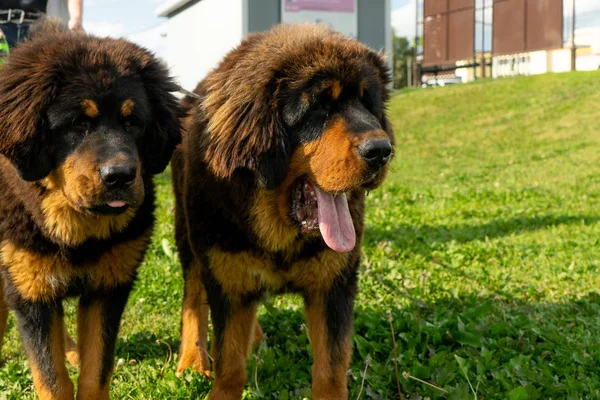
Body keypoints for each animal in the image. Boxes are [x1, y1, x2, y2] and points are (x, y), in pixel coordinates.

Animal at [0, 22, 180, 400]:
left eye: (133, 122)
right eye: (77, 123)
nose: (120, 176)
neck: (77, 233)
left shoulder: (108, 286)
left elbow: (95, 372)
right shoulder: (29, 289)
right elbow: (51, 379)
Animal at [173, 23, 396, 398]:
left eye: (369, 103)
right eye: (319, 107)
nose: (381, 150)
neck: (278, 232)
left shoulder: (333, 286)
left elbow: (331, 367)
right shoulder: (227, 280)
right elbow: (229, 363)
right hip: (188, 239)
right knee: (193, 299)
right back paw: (192, 357)